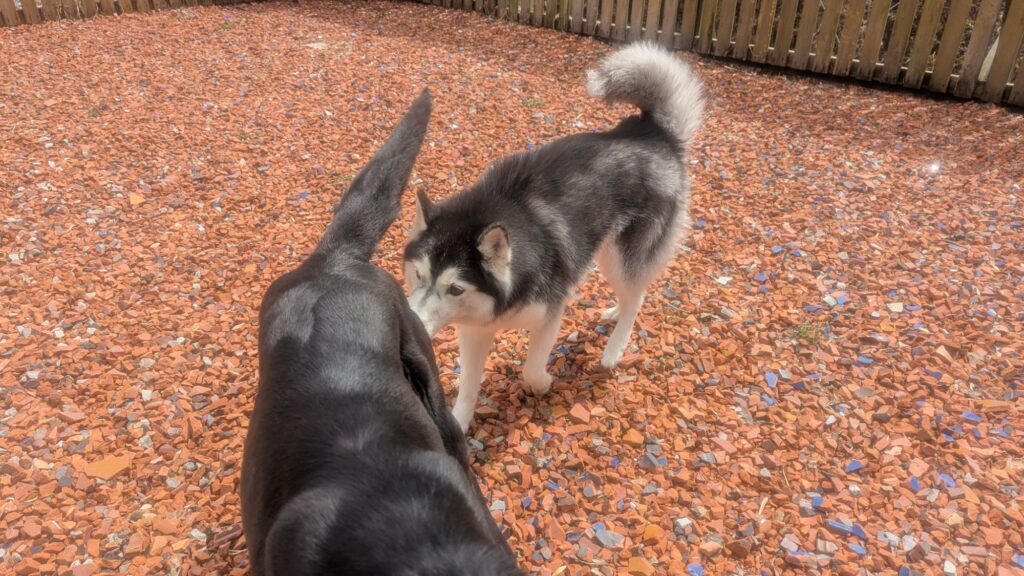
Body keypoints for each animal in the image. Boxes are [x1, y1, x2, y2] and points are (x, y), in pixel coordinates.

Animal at [402, 43, 704, 431]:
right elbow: (468, 386)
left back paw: (614, 349)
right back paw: (613, 311)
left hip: (621, 257)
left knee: (637, 298)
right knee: (629, 296)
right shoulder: (475, 330)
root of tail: (654, 133)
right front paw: (460, 423)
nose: (411, 323)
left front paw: (544, 384)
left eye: (455, 289)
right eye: (418, 274)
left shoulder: (550, 312)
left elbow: (531, 368)